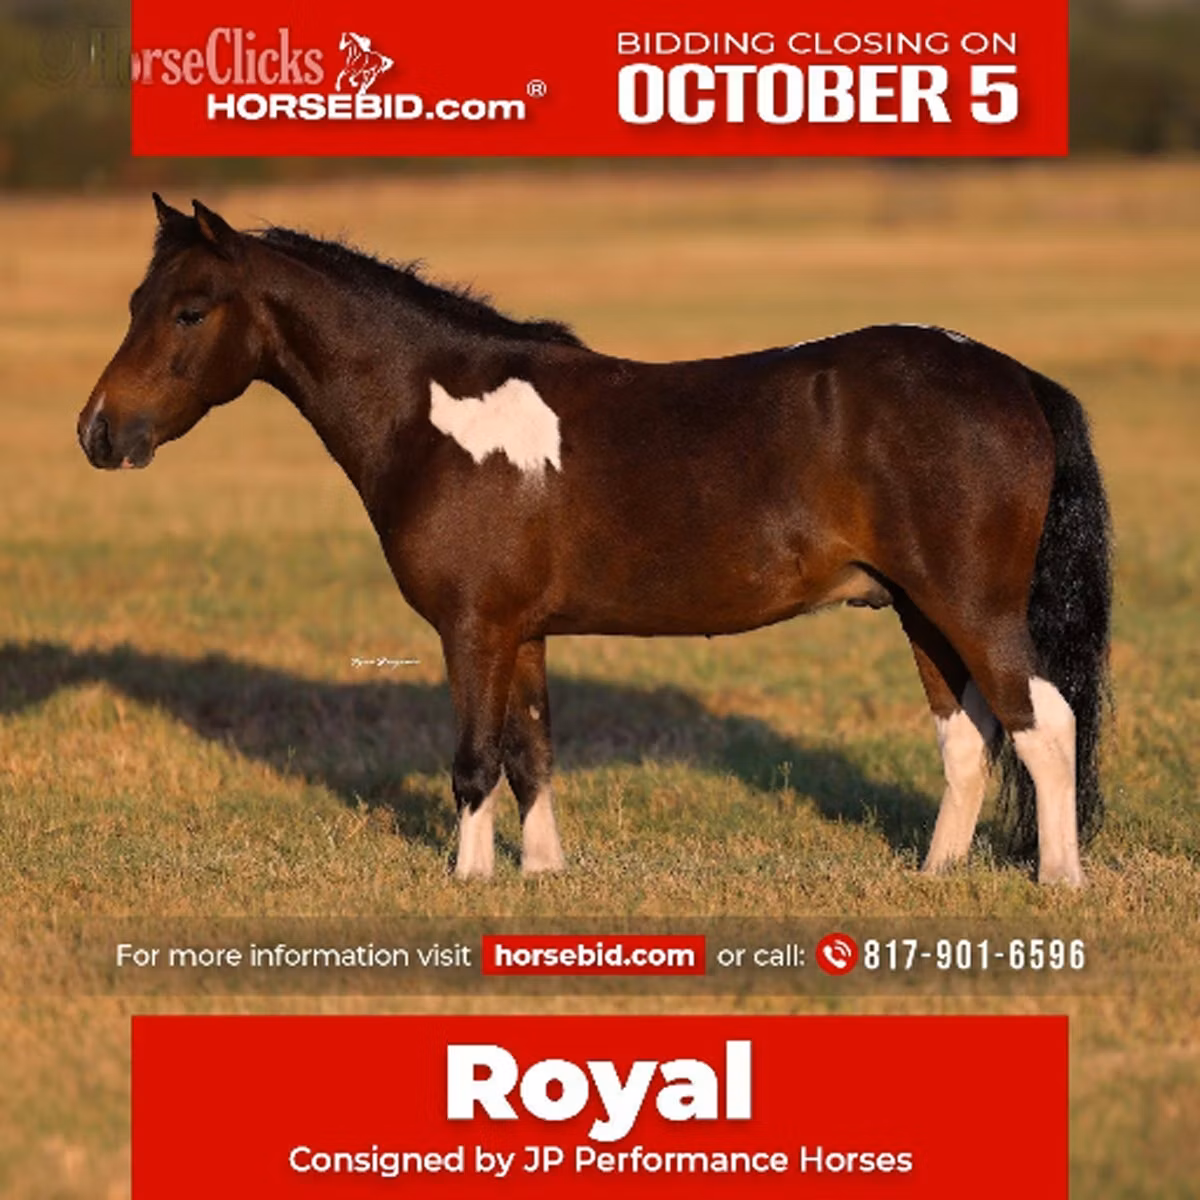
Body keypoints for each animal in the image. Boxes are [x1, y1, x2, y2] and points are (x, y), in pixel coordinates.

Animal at [78, 196, 1112, 885]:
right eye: (133, 303)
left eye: (190, 311)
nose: (97, 433)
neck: (434, 411)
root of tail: (1012, 376)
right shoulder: (523, 632)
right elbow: (531, 752)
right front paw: (541, 877)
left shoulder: (473, 630)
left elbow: (475, 761)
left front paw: (470, 883)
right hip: (920, 611)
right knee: (970, 739)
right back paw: (936, 878)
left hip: (969, 606)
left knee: (1044, 723)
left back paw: (1058, 882)